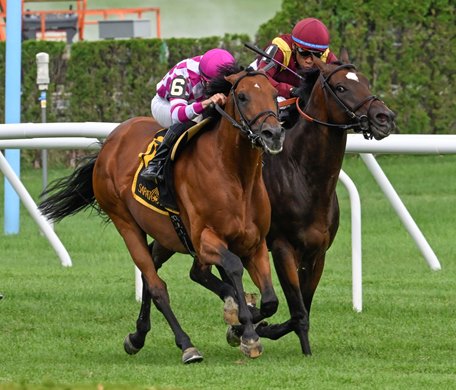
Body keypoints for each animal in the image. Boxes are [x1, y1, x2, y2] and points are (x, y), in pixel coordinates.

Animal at [38, 68, 284, 364]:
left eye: (274, 94)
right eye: (244, 96)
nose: (273, 134)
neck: (236, 177)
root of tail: (111, 141)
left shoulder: (255, 243)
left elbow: (270, 301)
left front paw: (239, 323)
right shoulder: (205, 240)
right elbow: (234, 267)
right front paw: (246, 332)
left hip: (167, 234)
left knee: (163, 273)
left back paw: (138, 335)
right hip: (126, 223)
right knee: (157, 285)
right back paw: (186, 345)